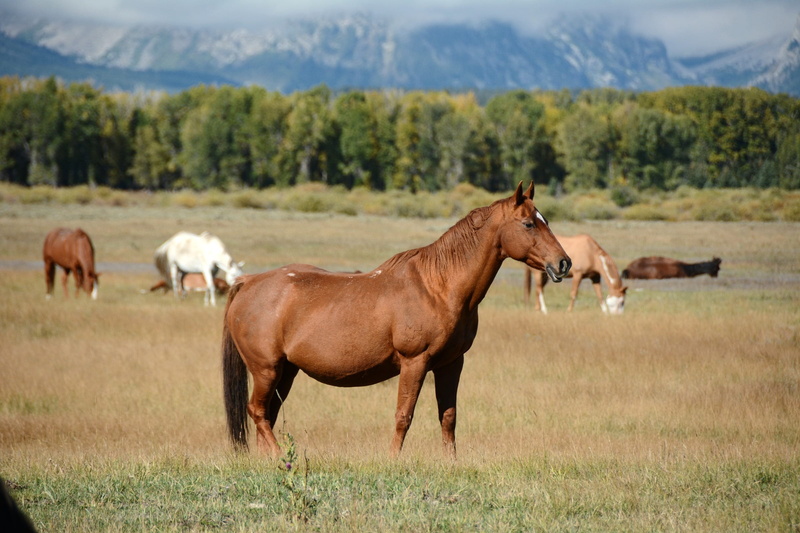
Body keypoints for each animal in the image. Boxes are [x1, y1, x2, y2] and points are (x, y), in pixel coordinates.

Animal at [222, 182, 571, 459]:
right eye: (528, 224)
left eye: (544, 221)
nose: (564, 263)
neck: (437, 287)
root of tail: (248, 282)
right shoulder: (414, 362)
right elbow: (404, 415)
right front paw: (393, 459)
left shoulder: (451, 364)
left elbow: (448, 416)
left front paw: (451, 462)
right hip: (266, 370)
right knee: (258, 412)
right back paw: (280, 457)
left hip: (286, 372)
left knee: (267, 414)